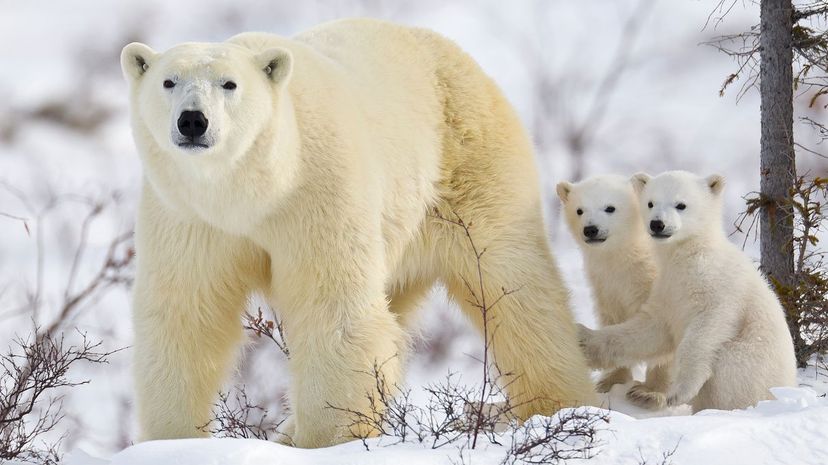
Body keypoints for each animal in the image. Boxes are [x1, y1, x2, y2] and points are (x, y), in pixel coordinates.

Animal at [119, 19, 592, 450]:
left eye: (229, 84)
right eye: (168, 81)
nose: (192, 121)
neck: (255, 191)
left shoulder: (316, 193)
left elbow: (333, 311)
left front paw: (328, 440)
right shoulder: (190, 216)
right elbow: (185, 314)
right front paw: (171, 441)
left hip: (470, 166)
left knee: (515, 284)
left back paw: (559, 407)